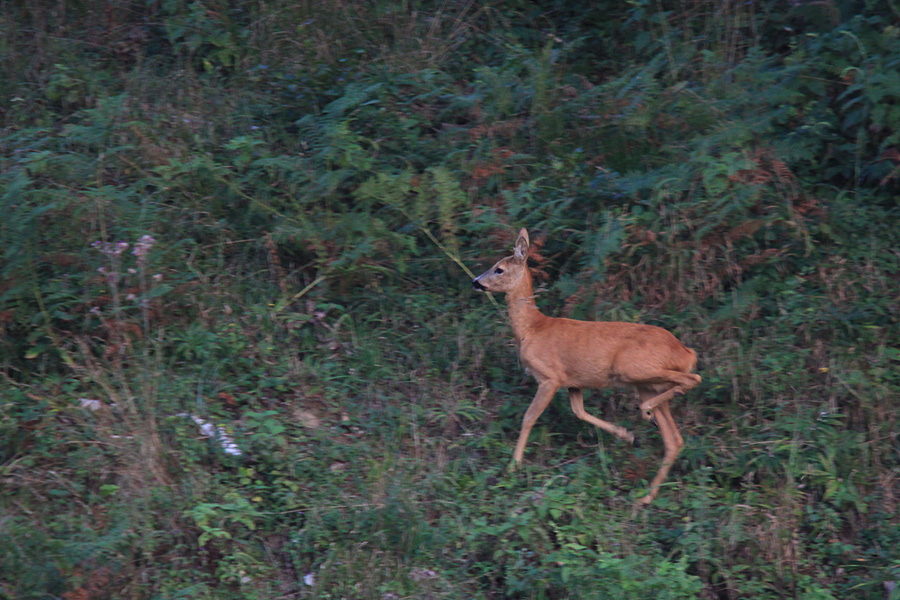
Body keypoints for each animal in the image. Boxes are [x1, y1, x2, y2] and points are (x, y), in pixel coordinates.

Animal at [474, 227, 700, 504]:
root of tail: (686, 352)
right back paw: (645, 497)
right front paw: (628, 436)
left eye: (499, 269)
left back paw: (646, 414)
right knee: (674, 439)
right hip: (648, 384)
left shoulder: (550, 376)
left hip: (634, 368)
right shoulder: (573, 382)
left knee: (693, 380)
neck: (532, 329)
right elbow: (579, 411)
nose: (475, 281)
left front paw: (513, 466)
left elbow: (529, 417)